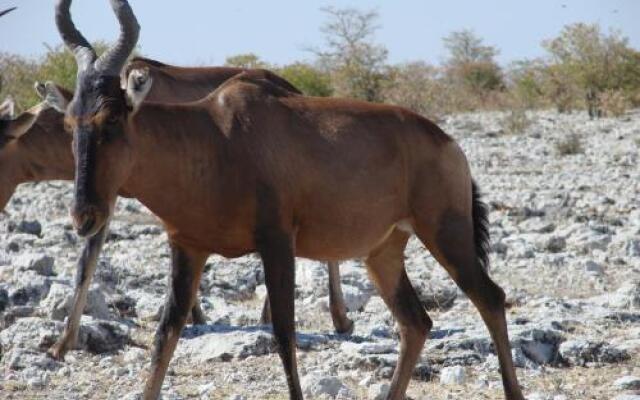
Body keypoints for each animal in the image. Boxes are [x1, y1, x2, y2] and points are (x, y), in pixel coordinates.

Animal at [47, 0, 524, 398]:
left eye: (112, 117)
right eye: (70, 122)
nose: (84, 216)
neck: (217, 135)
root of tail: (447, 142)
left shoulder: (277, 241)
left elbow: (283, 332)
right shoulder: (187, 247)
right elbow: (166, 332)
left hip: (446, 234)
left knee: (491, 298)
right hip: (383, 252)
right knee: (416, 323)